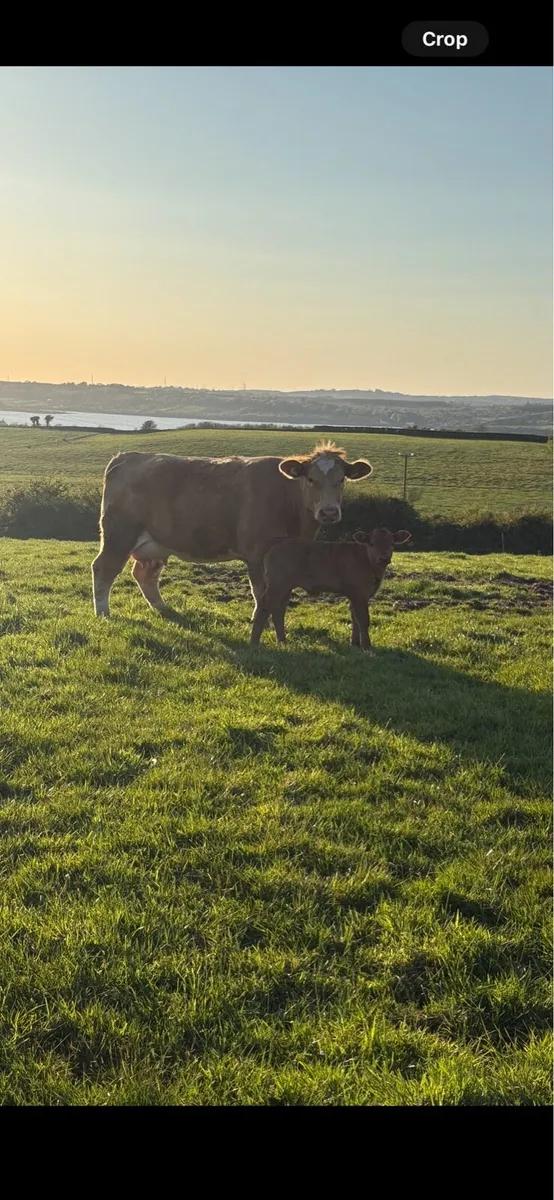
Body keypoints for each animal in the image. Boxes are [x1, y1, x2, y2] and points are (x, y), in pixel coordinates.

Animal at [91, 442, 373, 624]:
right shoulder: (257, 553)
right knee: (104, 568)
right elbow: (261, 592)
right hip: (119, 534)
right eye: (310, 479)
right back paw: (103, 613)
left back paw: (163, 608)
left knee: (145, 575)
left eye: (342, 479)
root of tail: (128, 456)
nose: (329, 512)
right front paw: (260, 622)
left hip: (156, 544)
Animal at [250, 527, 412, 649]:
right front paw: (367, 646)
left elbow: (354, 618)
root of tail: (281, 540)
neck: (366, 560)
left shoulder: (354, 595)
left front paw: (355, 643)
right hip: (277, 585)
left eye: (392, 544)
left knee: (278, 611)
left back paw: (282, 641)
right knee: (264, 607)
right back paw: (254, 643)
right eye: (372, 544)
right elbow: (363, 620)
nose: (383, 558)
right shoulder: (360, 594)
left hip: (284, 587)